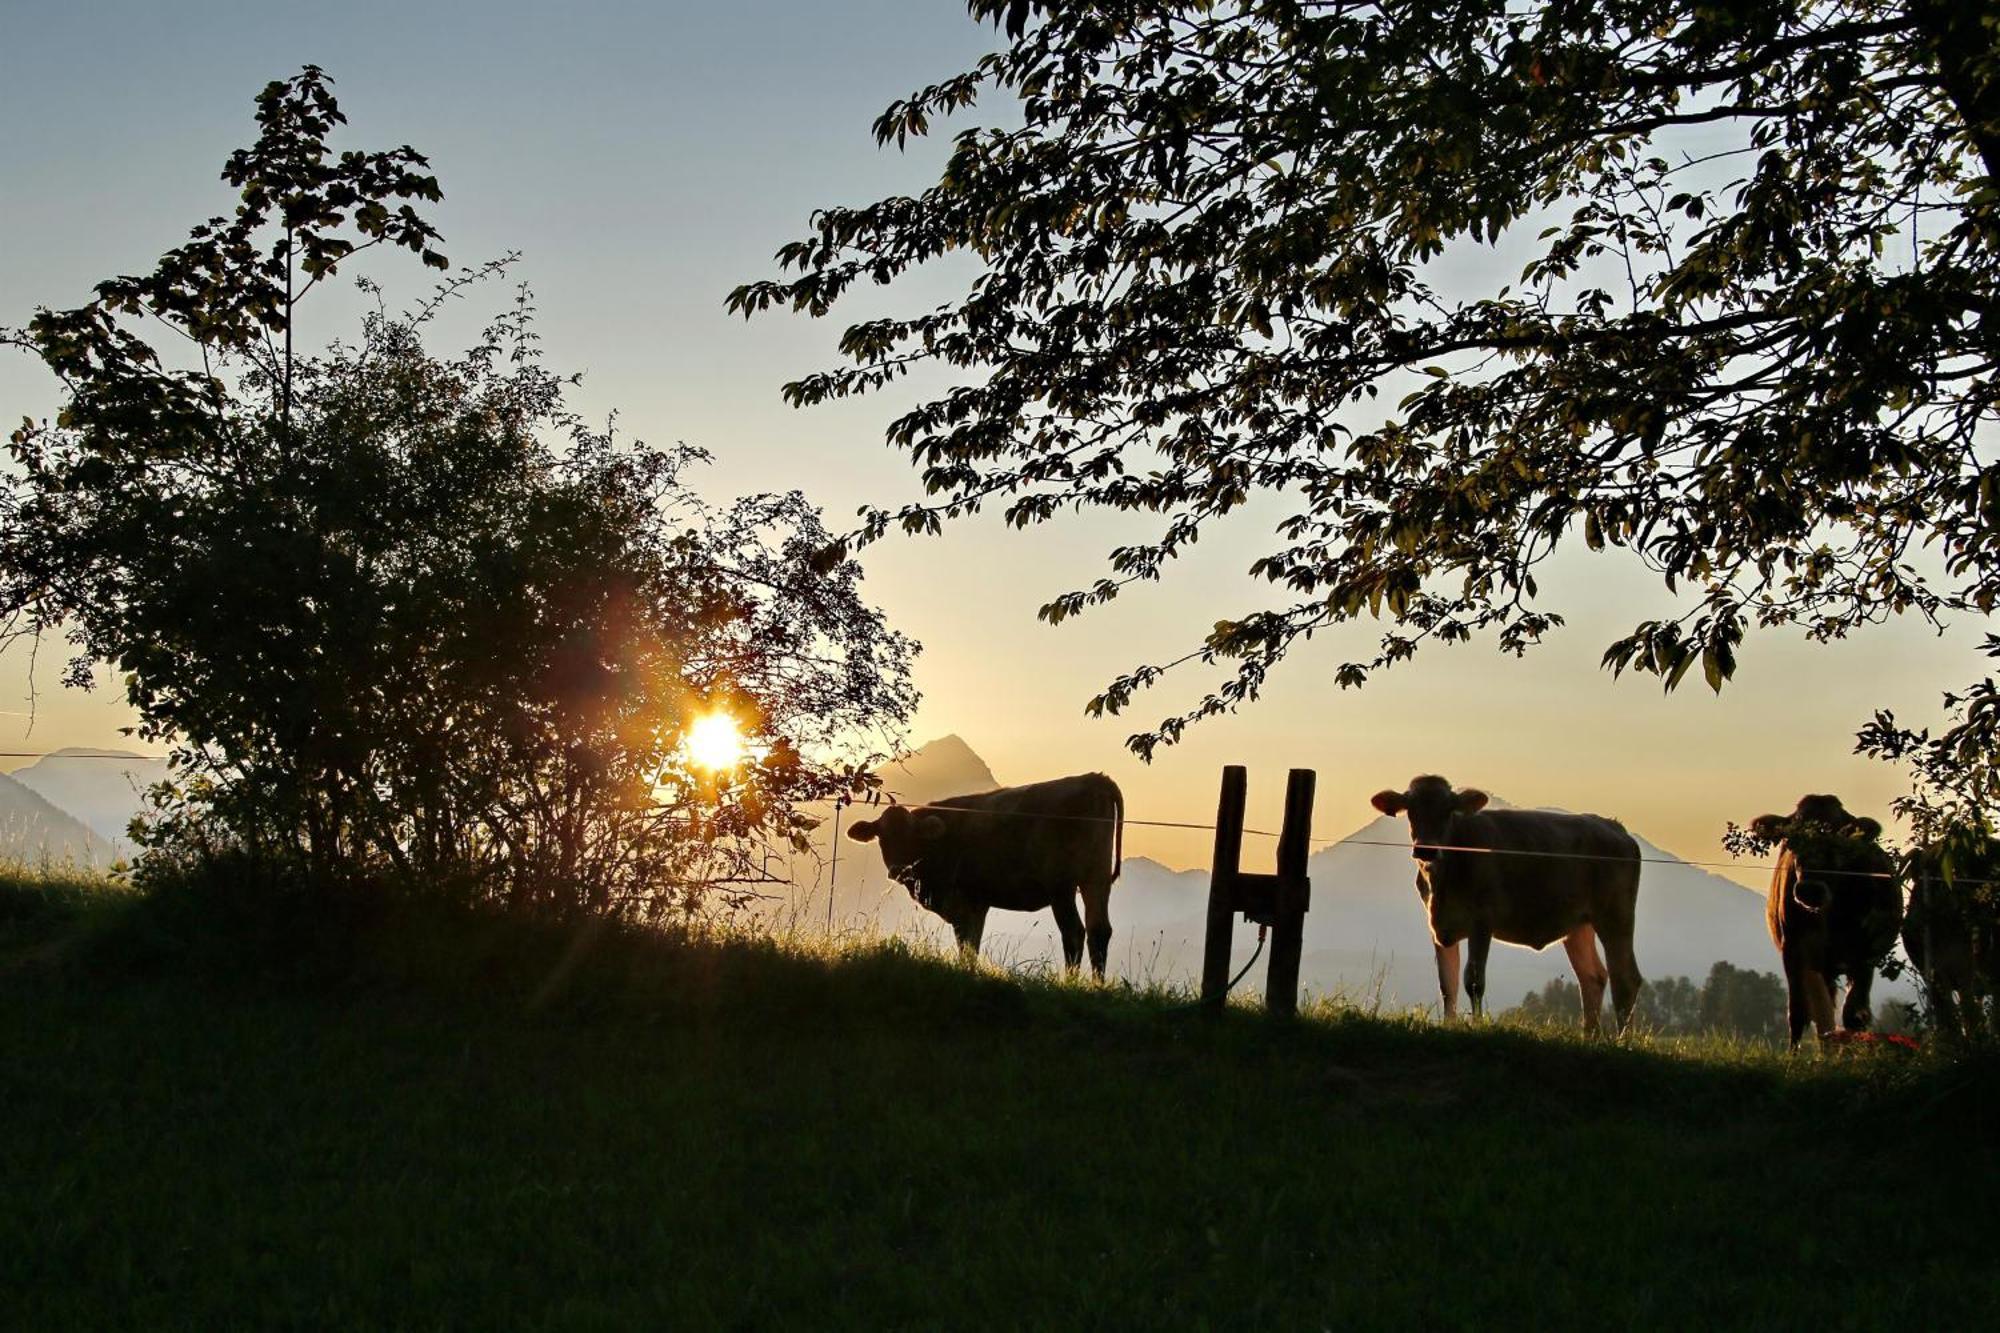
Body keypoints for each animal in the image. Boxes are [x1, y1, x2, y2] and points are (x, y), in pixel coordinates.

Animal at [844, 768, 1128, 976]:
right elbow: (973, 945)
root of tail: (1094, 779)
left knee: (1074, 931)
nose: (897, 869)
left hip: (1061, 885)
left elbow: (966, 943)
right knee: (1099, 930)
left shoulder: (962, 902)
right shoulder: (978, 903)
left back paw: (1069, 982)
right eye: (882, 836)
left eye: (911, 835)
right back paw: (1097, 985)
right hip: (1097, 878)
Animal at [1376, 772, 1640, 1032]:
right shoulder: (1439, 927)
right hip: (1579, 925)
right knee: (1592, 976)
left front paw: (1477, 1024)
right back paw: (1589, 1035)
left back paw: (1622, 1038)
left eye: (1448, 810)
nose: (1426, 850)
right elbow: (1447, 984)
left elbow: (1473, 980)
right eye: (1411, 810)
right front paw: (1448, 1025)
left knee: (1626, 978)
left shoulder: (1482, 922)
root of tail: (1614, 826)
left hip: (1616, 916)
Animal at [1752, 792, 1904, 1040]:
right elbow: (1799, 1013)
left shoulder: (1864, 955)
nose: (1810, 890)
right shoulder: (1793, 950)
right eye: (1791, 840)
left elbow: (1853, 1014)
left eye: (1838, 842)